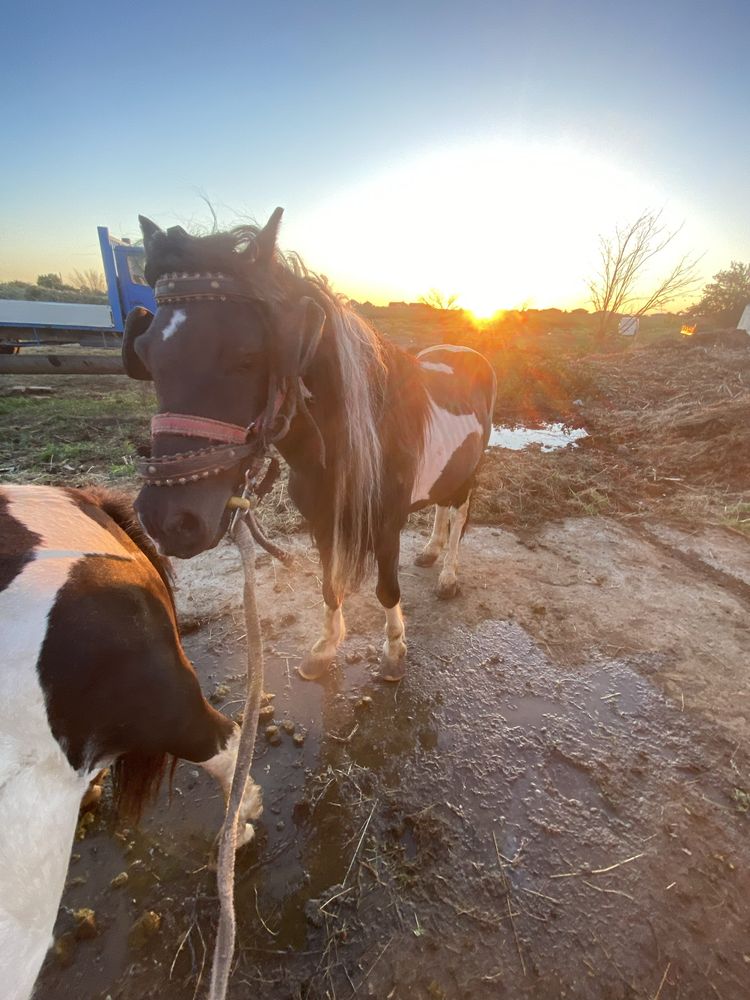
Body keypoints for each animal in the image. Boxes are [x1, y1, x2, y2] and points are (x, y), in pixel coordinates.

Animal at [126, 208, 496, 684]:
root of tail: (465, 351)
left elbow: (386, 588)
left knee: (459, 512)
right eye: (144, 354)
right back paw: (430, 552)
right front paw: (324, 648)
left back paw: (448, 574)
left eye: (248, 355)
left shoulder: (385, 525)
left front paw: (394, 651)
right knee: (441, 507)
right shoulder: (321, 522)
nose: (168, 521)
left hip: (470, 470)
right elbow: (328, 584)